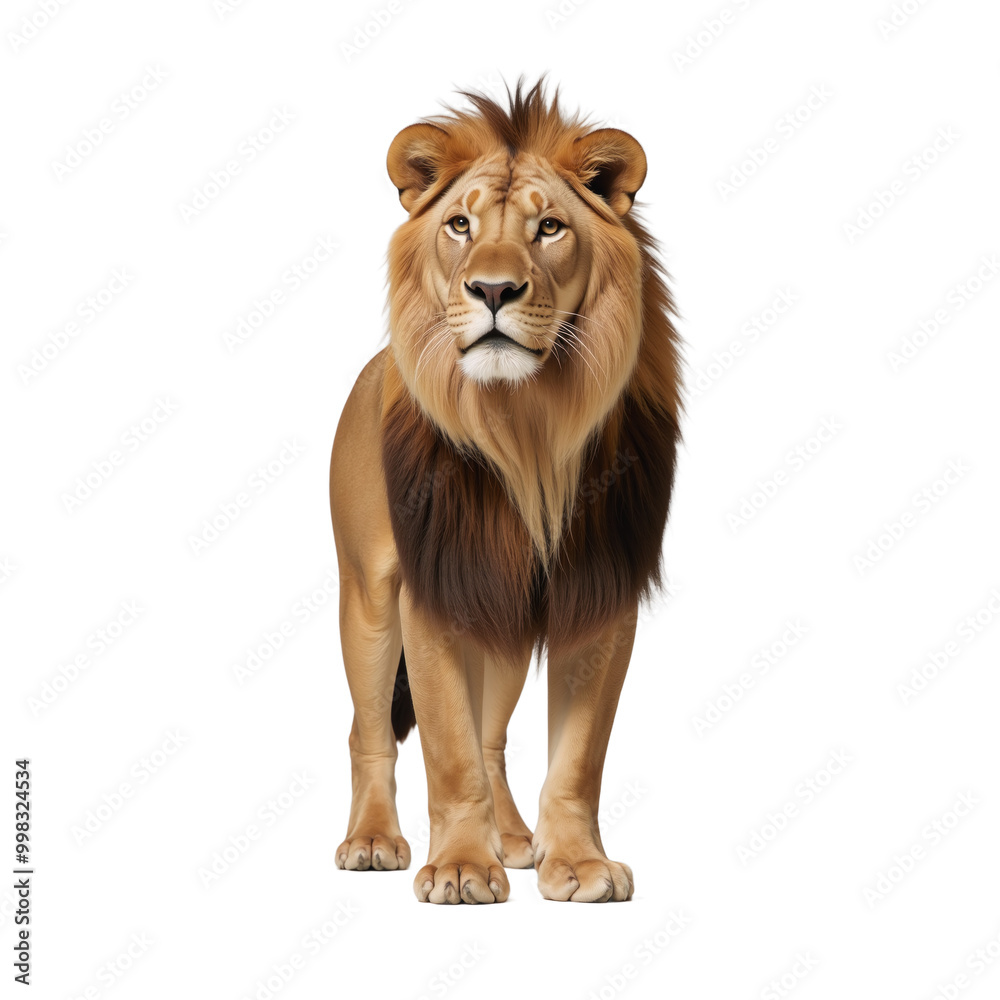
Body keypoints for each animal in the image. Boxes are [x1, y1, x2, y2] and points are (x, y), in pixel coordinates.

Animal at [329, 80, 681, 904]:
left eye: (548, 227)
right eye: (460, 224)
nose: (493, 288)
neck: (525, 429)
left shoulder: (600, 586)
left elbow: (576, 757)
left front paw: (577, 864)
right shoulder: (427, 590)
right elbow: (447, 746)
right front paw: (460, 867)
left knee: (491, 736)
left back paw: (515, 839)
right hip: (367, 597)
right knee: (370, 728)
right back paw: (373, 840)